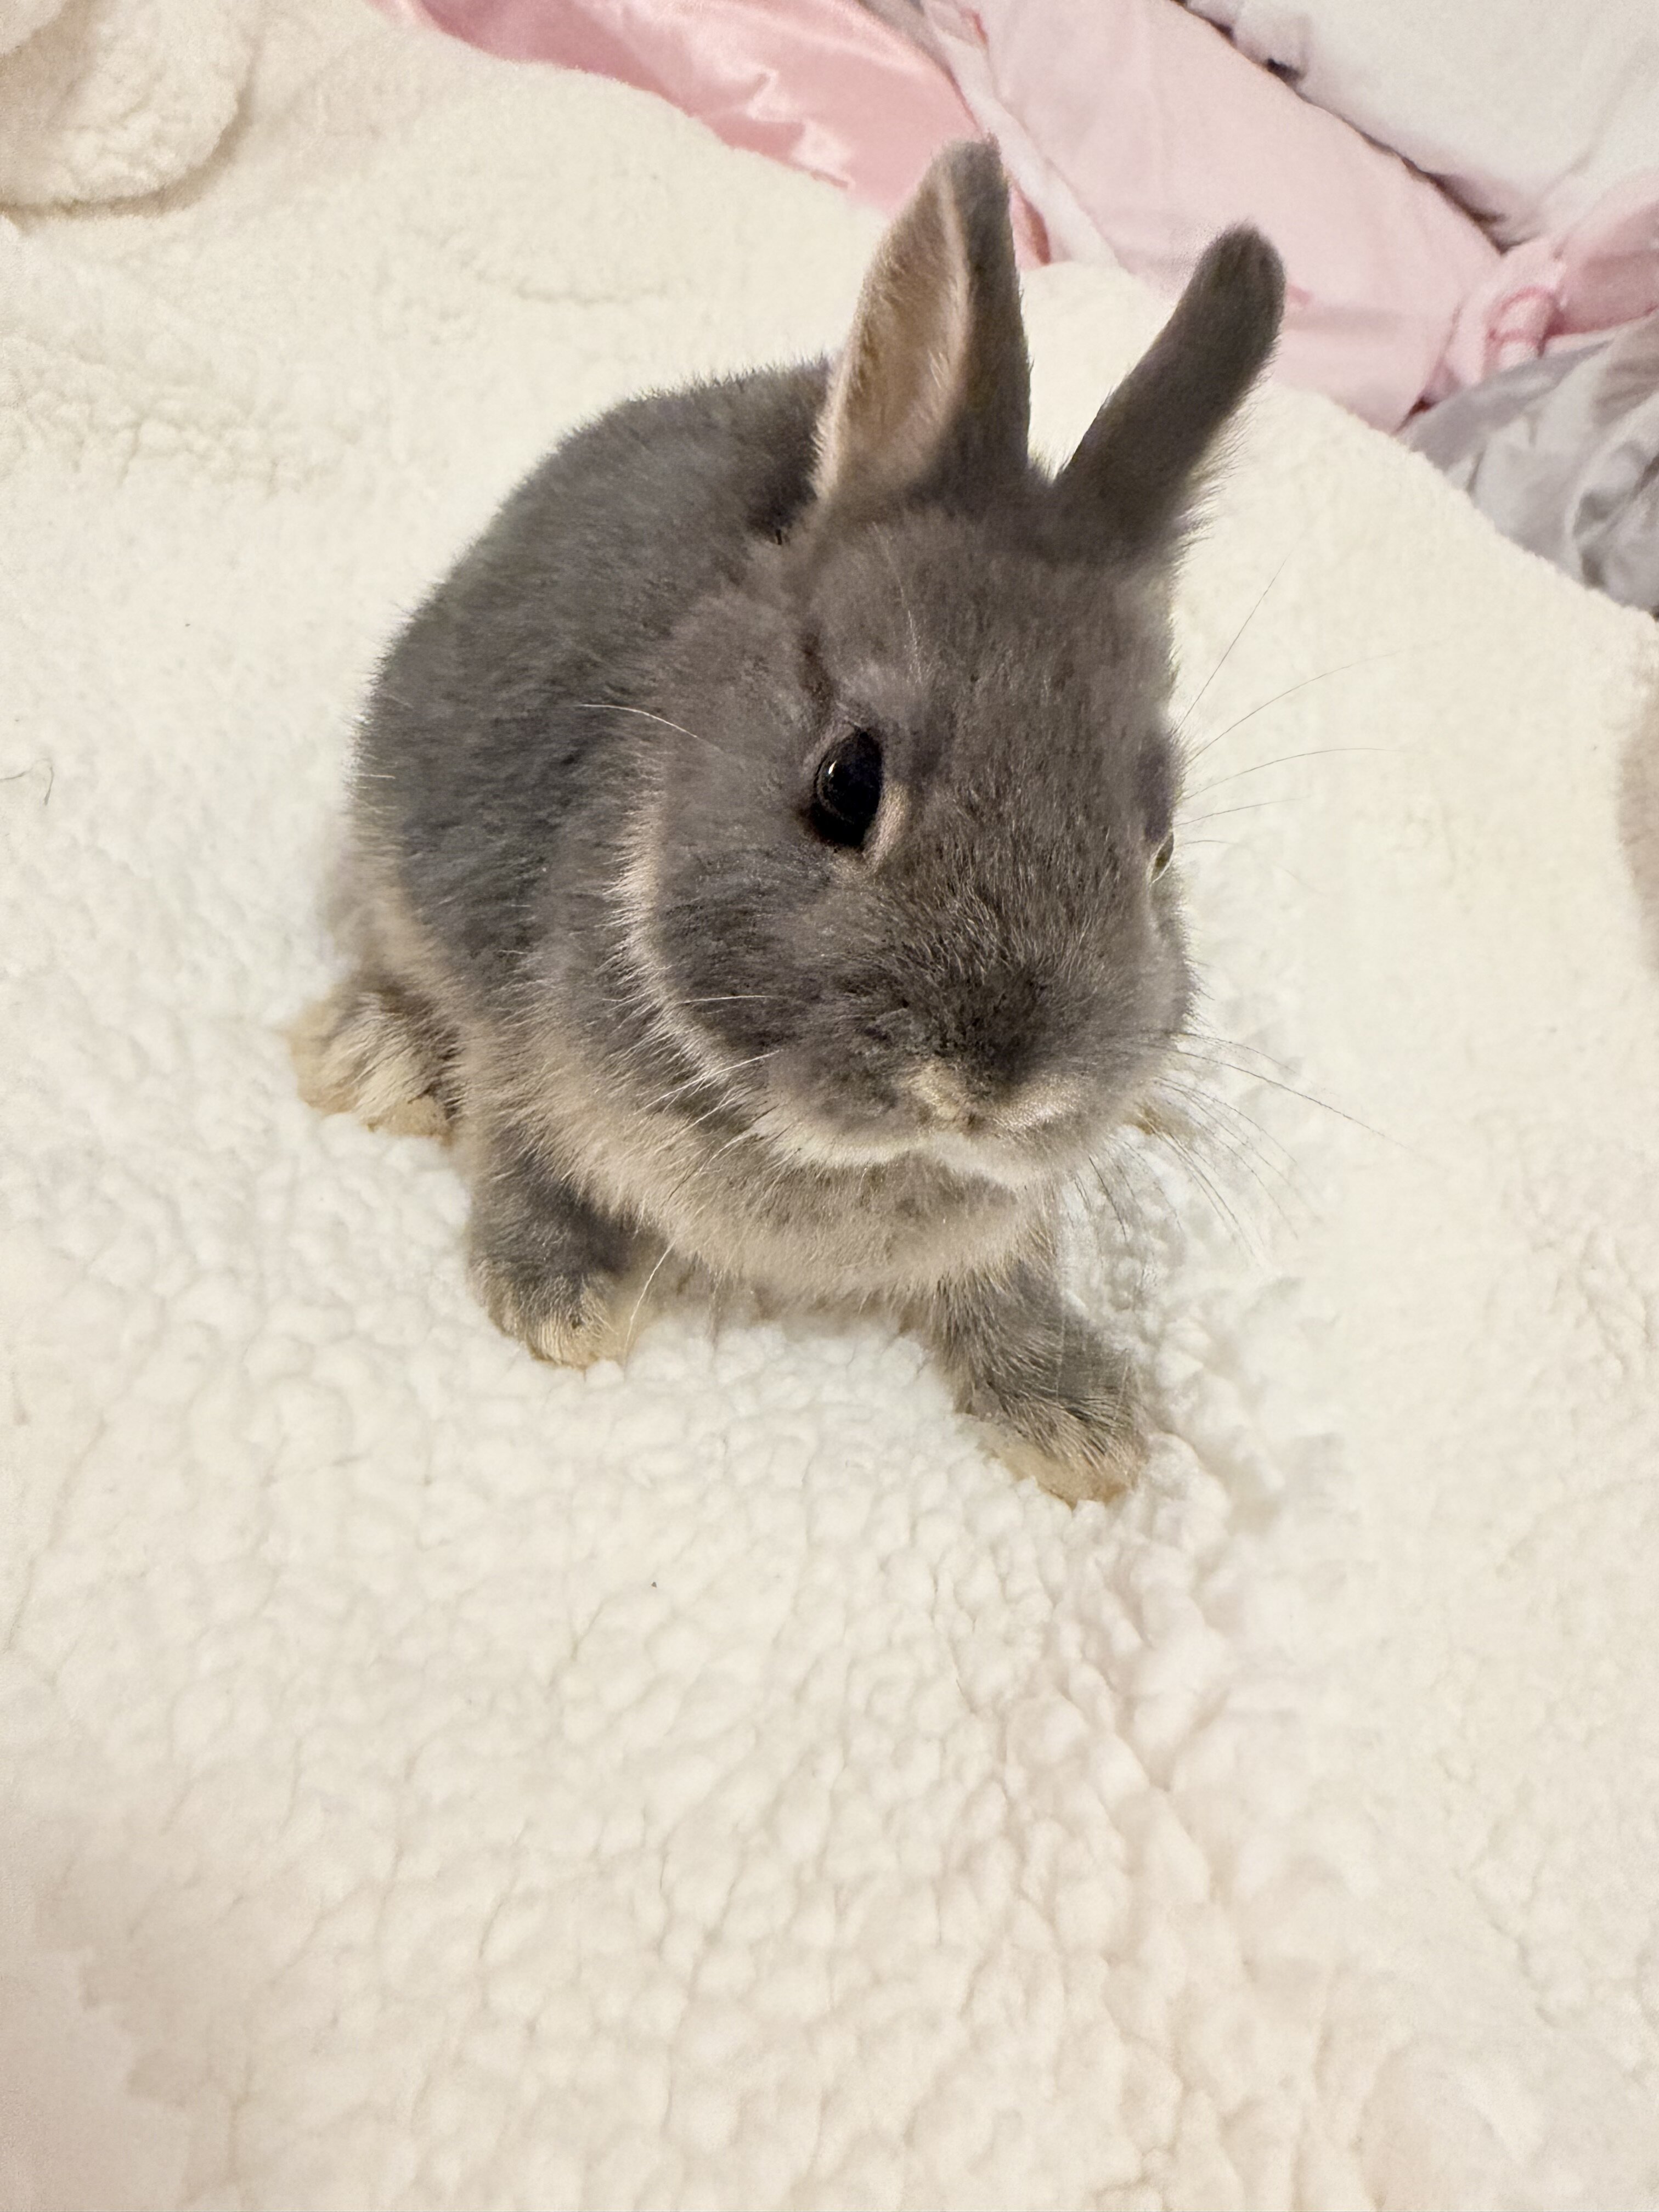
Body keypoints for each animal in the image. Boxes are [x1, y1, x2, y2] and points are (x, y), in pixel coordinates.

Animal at [291, 140, 1284, 1505]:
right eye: (846, 784)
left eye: (1160, 850)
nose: (997, 1087)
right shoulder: (521, 1047)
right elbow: (518, 1150)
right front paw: (560, 1302)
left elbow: (1011, 1282)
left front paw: (1084, 1424)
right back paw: (370, 1053)